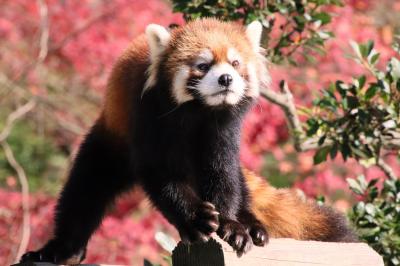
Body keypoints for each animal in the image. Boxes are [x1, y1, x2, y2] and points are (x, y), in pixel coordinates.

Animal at [20, 18, 356, 264]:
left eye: (235, 63)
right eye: (203, 65)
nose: (225, 79)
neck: (200, 111)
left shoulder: (223, 131)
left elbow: (223, 175)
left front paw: (232, 226)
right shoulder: (150, 118)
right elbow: (163, 176)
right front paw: (197, 220)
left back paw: (253, 225)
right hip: (110, 143)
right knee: (85, 190)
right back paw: (61, 250)